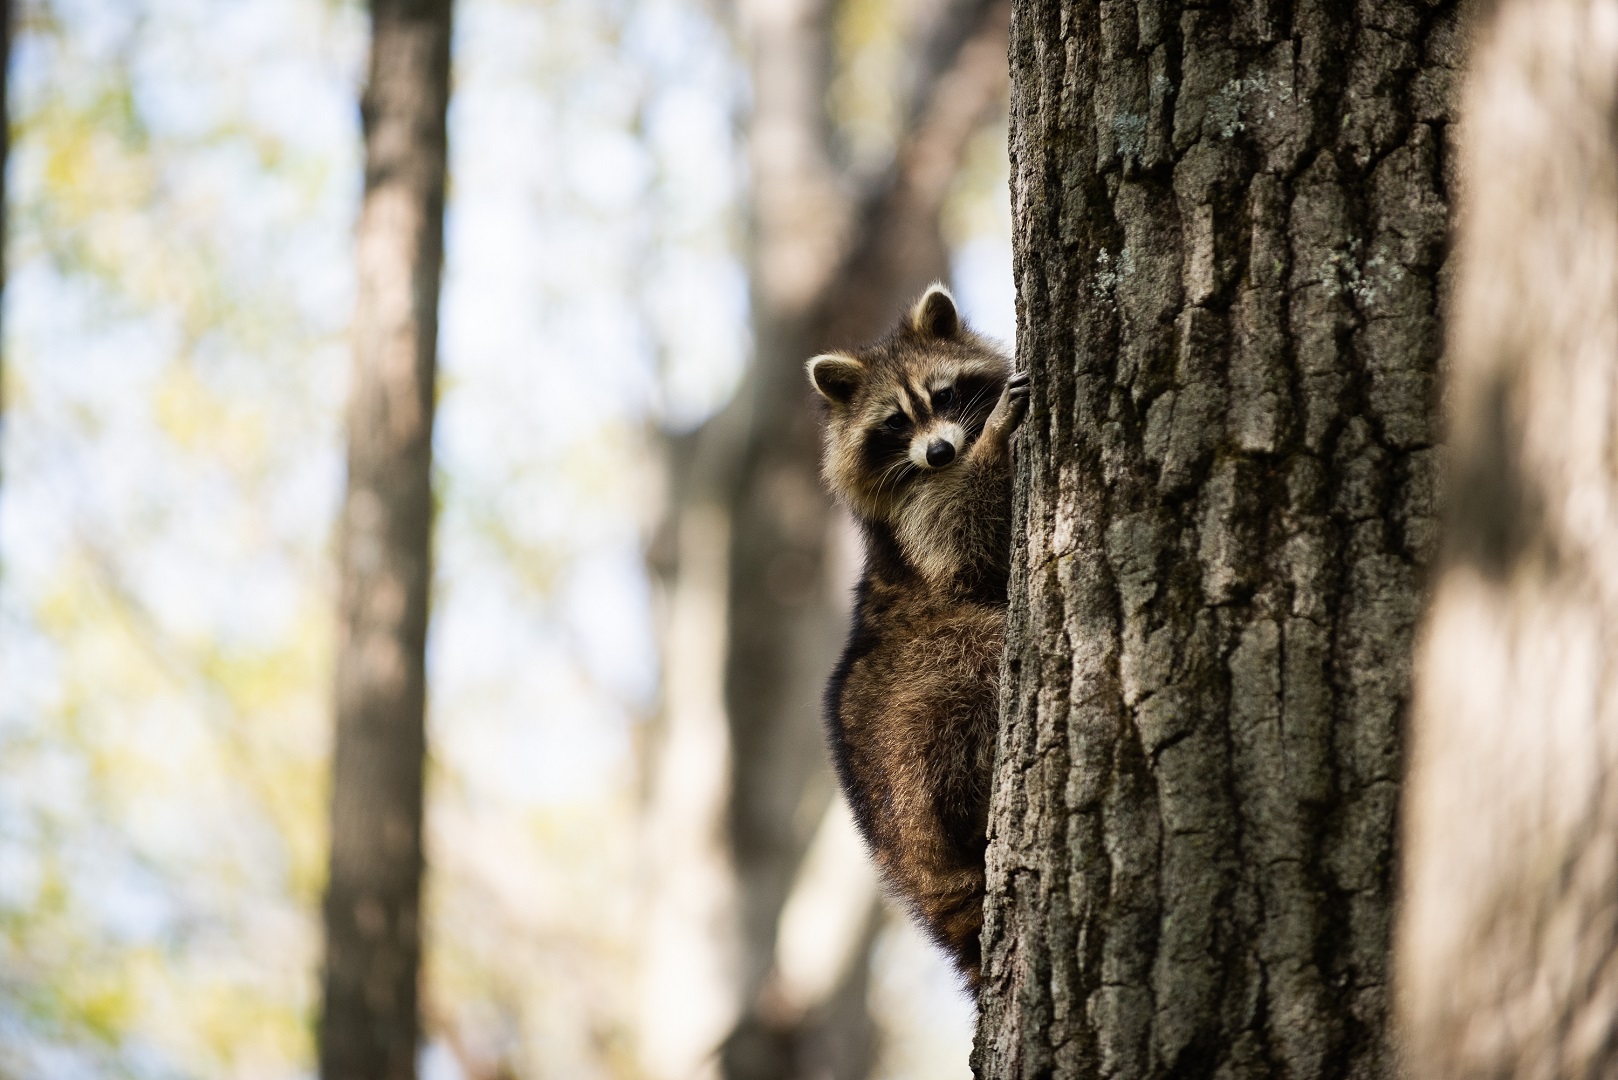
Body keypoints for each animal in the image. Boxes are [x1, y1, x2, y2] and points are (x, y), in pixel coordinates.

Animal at [805, 283, 1022, 990]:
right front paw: (995, 444)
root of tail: (905, 856)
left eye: (944, 394)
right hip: (916, 722)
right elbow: (963, 542)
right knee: (975, 648)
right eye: (895, 423)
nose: (941, 453)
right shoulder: (914, 523)